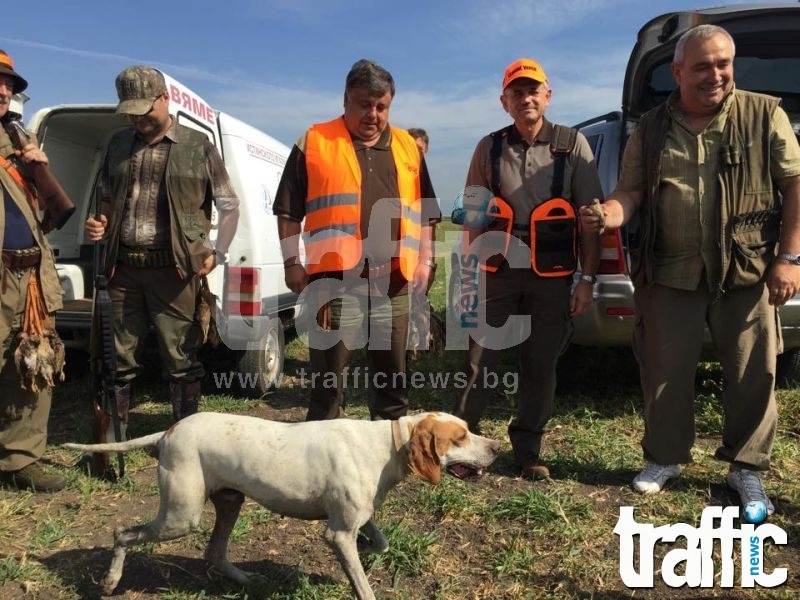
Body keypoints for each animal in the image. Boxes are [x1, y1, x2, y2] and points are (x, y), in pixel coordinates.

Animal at [64, 410, 500, 596]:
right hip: (180, 517)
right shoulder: (337, 534)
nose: (496, 448)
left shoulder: (355, 520)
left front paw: (372, 551)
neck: (388, 445)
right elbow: (361, 582)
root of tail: (167, 431)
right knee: (123, 534)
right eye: (461, 436)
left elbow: (380, 540)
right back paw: (110, 581)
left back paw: (245, 581)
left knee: (214, 552)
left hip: (229, 503)